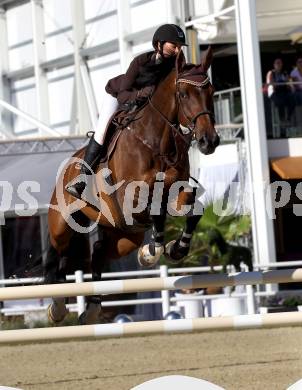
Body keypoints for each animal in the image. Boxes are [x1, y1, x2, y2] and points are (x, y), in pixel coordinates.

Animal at [45, 48, 219, 322]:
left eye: (210, 91)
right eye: (183, 94)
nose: (208, 141)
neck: (158, 143)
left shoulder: (176, 192)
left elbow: (193, 209)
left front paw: (173, 249)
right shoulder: (130, 199)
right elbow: (157, 209)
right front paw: (153, 251)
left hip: (124, 236)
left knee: (99, 251)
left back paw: (92, 308)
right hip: (63, 223)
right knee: (60, 254)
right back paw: (59, 306)